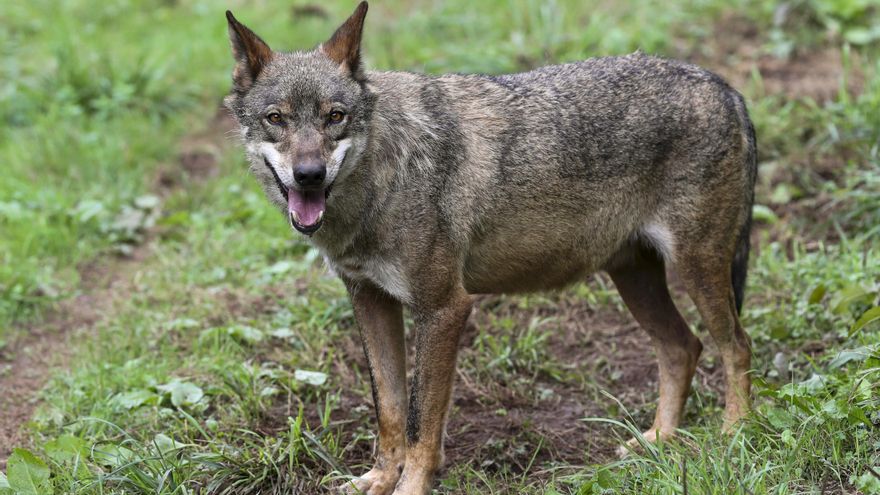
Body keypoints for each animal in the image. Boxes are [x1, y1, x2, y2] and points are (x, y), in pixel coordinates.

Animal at [224, 3, 757, 493]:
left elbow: (420, 422)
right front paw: (379, 478)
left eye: (335, 117)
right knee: (683, 347)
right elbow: (390, 410)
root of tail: (724, 86)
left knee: (735, 345)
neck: (382, 180)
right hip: (635, 279)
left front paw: (410, 485)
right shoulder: (370, 301)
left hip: (696, 269)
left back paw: (734, 435)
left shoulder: (445, 308)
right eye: (276, 119)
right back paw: (657, 441)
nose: (309, 175)